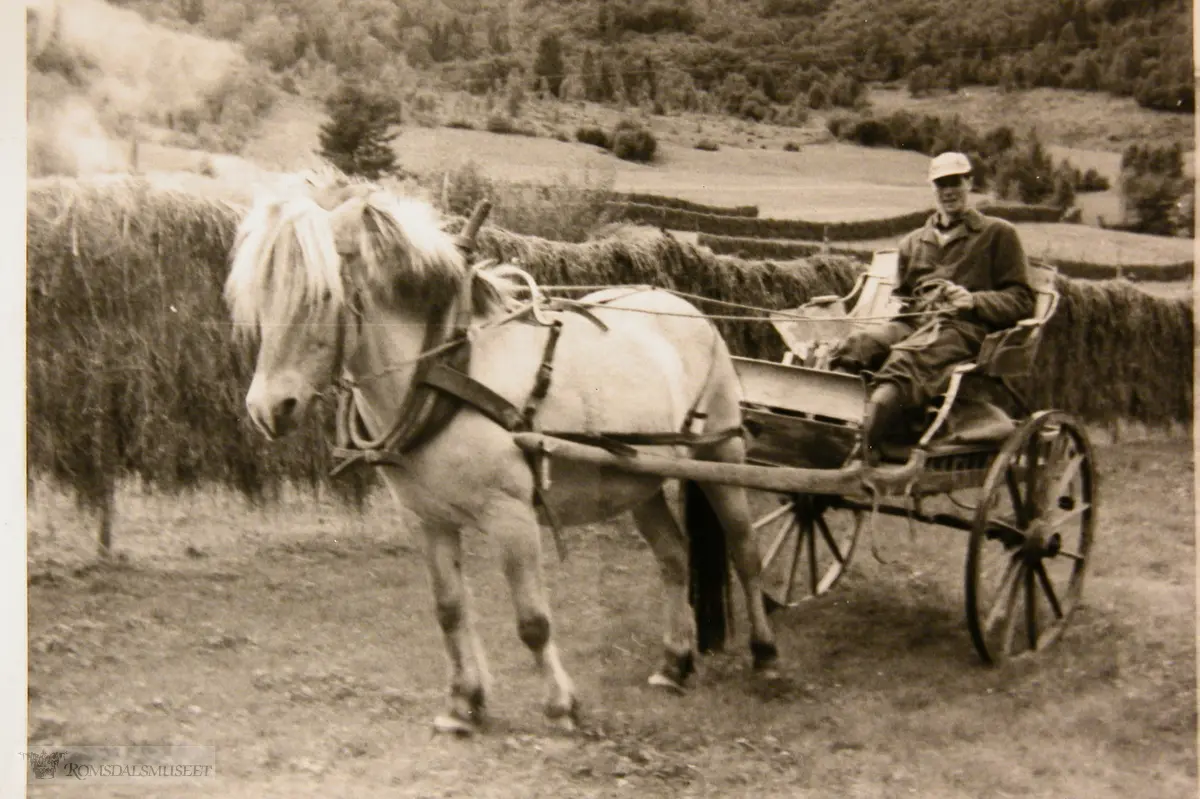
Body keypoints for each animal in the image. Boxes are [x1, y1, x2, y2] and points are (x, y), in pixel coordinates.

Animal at [224, 173, 777, 734]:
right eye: (258, 297)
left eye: (320, 295)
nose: (268, 409)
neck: (446, 367)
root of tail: (684, 307)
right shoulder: (426, 520)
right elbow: (449, 609)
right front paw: (463, 703)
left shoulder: (510, 515)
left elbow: (532, 620)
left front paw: (560, 704)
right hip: (636, 478)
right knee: (672, 556)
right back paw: (674, 662)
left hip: (720, 456)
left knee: (746, 552)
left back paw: (765, 653)